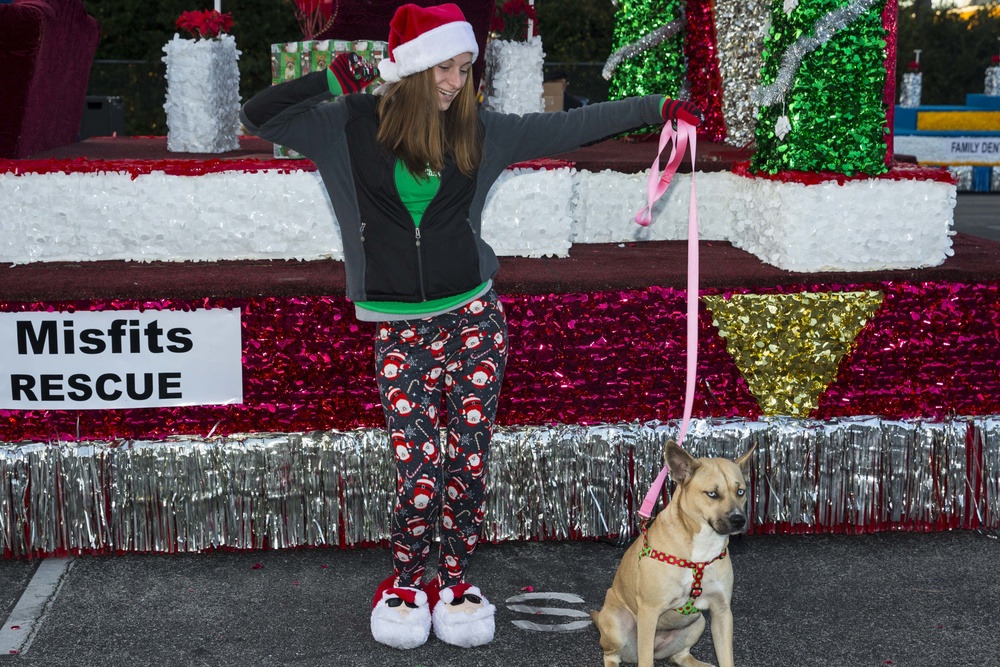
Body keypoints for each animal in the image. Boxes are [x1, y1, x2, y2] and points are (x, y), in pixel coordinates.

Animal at [588, 444, 752, 667]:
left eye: (741, 491)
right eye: (712, 494)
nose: (739, 520)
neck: (701, 552)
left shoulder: (722, 612)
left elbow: (726, 658)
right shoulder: (649, 611)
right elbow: (646, 661)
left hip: (697, 623)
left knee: (679, 655)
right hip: (617, 626)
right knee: (611, 655)